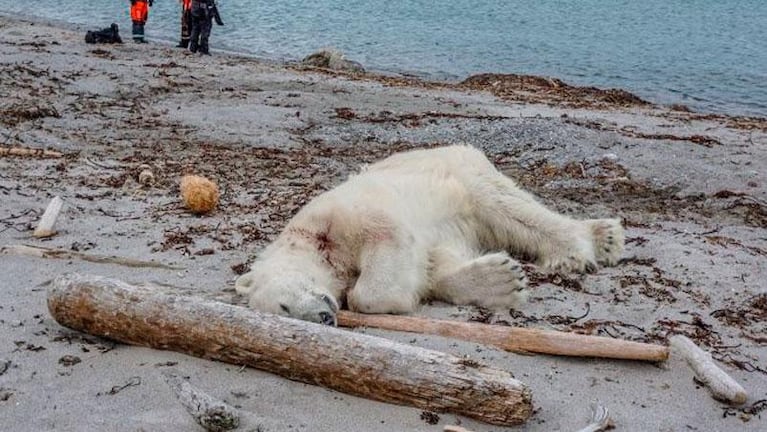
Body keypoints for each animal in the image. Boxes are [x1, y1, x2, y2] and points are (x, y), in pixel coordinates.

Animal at [236, 144, 624, 324]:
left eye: (284, 305)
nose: (325, 317)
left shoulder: (339, 216)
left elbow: (384, 244)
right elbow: (435, 263)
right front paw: (500, 280)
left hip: (462, 172)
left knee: (508, 207)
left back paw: (588, 244)